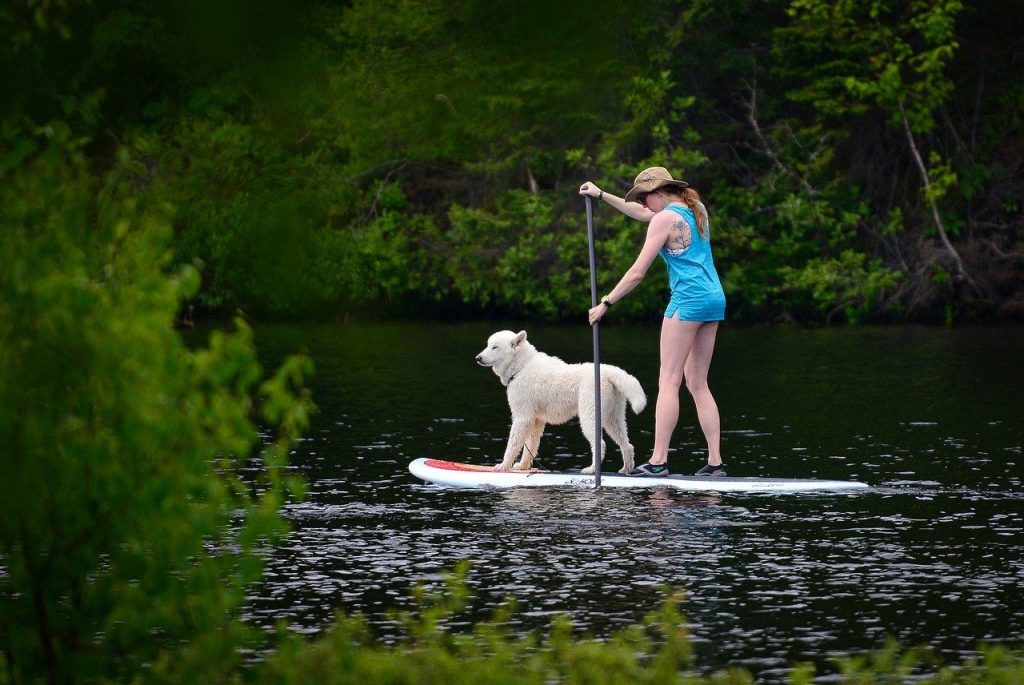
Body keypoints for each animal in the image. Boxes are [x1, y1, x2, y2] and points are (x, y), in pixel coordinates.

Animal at [473, 329, 647, 471]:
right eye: (488, 345)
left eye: (495, 347)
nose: (477, 358)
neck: (521, 367)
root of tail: (609, 372)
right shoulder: (536, 420)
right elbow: (531, 444)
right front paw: (523, 466)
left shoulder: (522, 417)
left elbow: (513, 444)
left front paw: (503, 466)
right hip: (613, 417)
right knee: (627, 444)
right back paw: (626, 469)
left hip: (589, 415)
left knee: (601, 443)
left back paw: (591, 469)